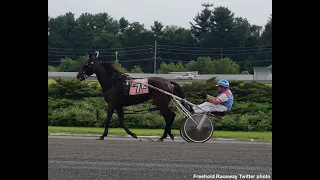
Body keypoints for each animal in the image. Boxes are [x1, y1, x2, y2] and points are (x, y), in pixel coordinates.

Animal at [77, 51, 228, 143]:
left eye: (86, 64)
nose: (78, 76)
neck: (113, 82)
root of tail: (168, 82)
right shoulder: (119, 105)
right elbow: (122, 121)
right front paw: (133, 134)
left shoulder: (112, 104)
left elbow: (108, 119)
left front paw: (102, 135)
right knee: (170, 116)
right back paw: (168, 135)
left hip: (161, 103)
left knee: (170, 116)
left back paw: (164, 136)